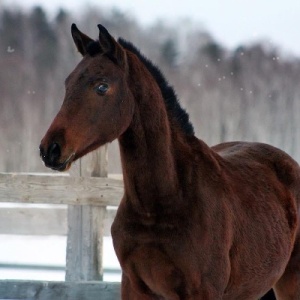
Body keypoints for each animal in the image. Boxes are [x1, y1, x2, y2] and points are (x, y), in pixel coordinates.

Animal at [39, 24, 300, 300]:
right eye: (67, 84)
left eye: (101, 86)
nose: (50, 149)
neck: (160, 202)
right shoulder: (134, 286)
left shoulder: (203, 291)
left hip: (289, 282)